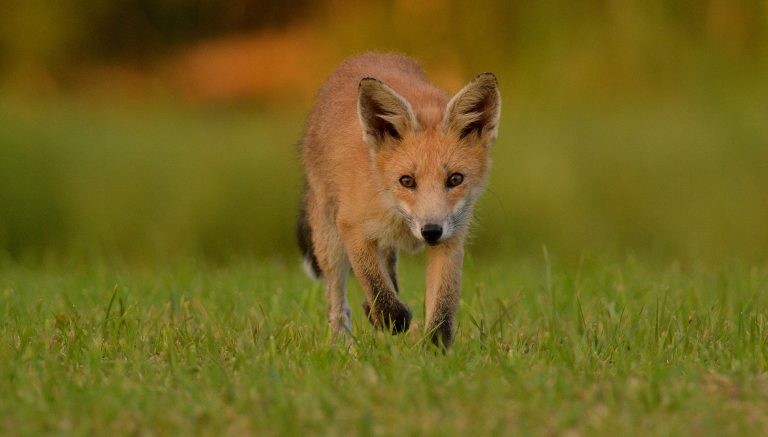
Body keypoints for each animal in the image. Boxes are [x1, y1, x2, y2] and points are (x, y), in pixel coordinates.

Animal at [296, 52, 500, 348]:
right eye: (407, 181)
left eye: (455, 179)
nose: (430, 231)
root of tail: (368, 54)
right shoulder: (351, 226)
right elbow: (376, 285)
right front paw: (393, 320)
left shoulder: (451, 239)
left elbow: (443, 304)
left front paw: (436, 348)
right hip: (329, 241)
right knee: (337, 302)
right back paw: (341, 343)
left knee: (387, 265)